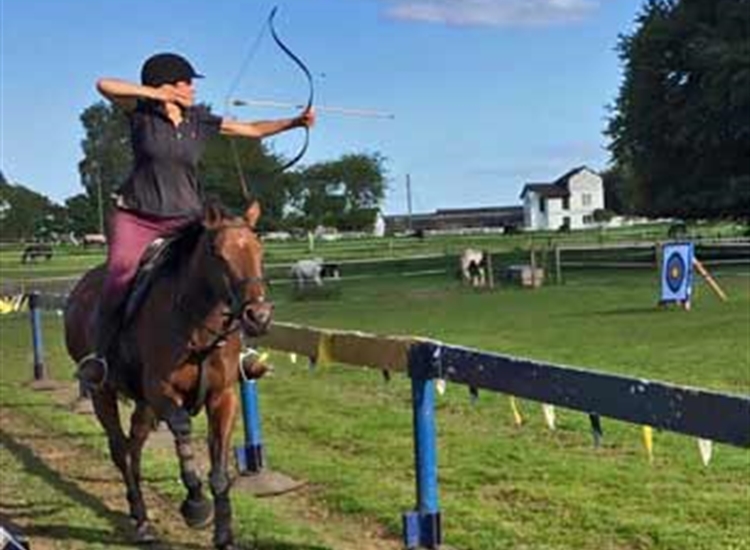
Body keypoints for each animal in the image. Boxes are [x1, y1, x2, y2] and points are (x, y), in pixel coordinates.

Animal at [64, 201, 271, 549]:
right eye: (217, 252)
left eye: (259, 249)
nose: (258, 316)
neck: (197, 326)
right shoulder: (161, 392)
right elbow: (183, 428)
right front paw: (196, 505)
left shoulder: (222, 397)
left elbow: (219, 471)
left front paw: (224, 535)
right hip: (102, 393)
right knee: (120, 450)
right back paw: (142, 519)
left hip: (143, 405)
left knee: (134, 446)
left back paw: (138, 511)